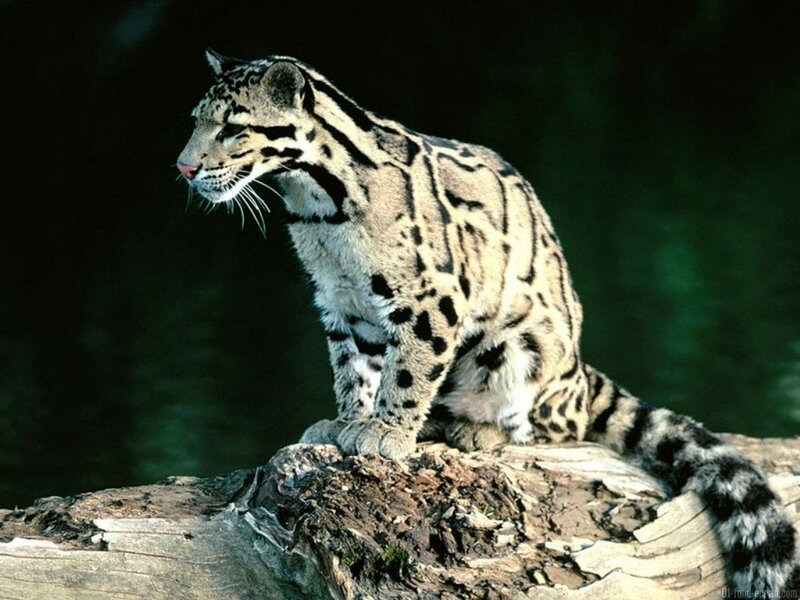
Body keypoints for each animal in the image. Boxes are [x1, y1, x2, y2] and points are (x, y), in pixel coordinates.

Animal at [177, 49, 798, 594]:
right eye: (195, 122)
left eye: (232, 128)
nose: (183, 167)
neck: (318, 208)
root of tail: (581, 373)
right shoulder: (340, 302)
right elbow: (352, 369)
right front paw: (346, 421)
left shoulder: (432, 296)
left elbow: (408, 371)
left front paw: (385, 432)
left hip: (519, 349)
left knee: (548, 426)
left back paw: (475, 428)